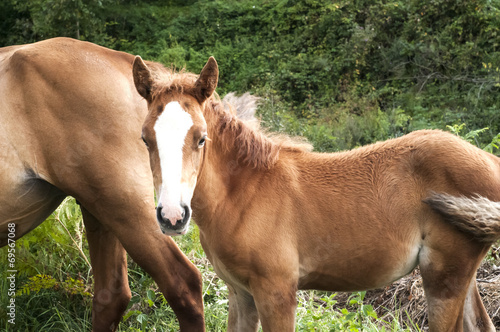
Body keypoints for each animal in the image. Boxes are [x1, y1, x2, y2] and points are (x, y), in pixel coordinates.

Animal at [135, 58, 500, 330]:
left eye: (201, 138)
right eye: (145, 139)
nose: (172, 216)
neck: (243, 195)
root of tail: (491, 160)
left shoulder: (277, 292)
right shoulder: (240, 294)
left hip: (444, 276)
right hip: (459, 275)